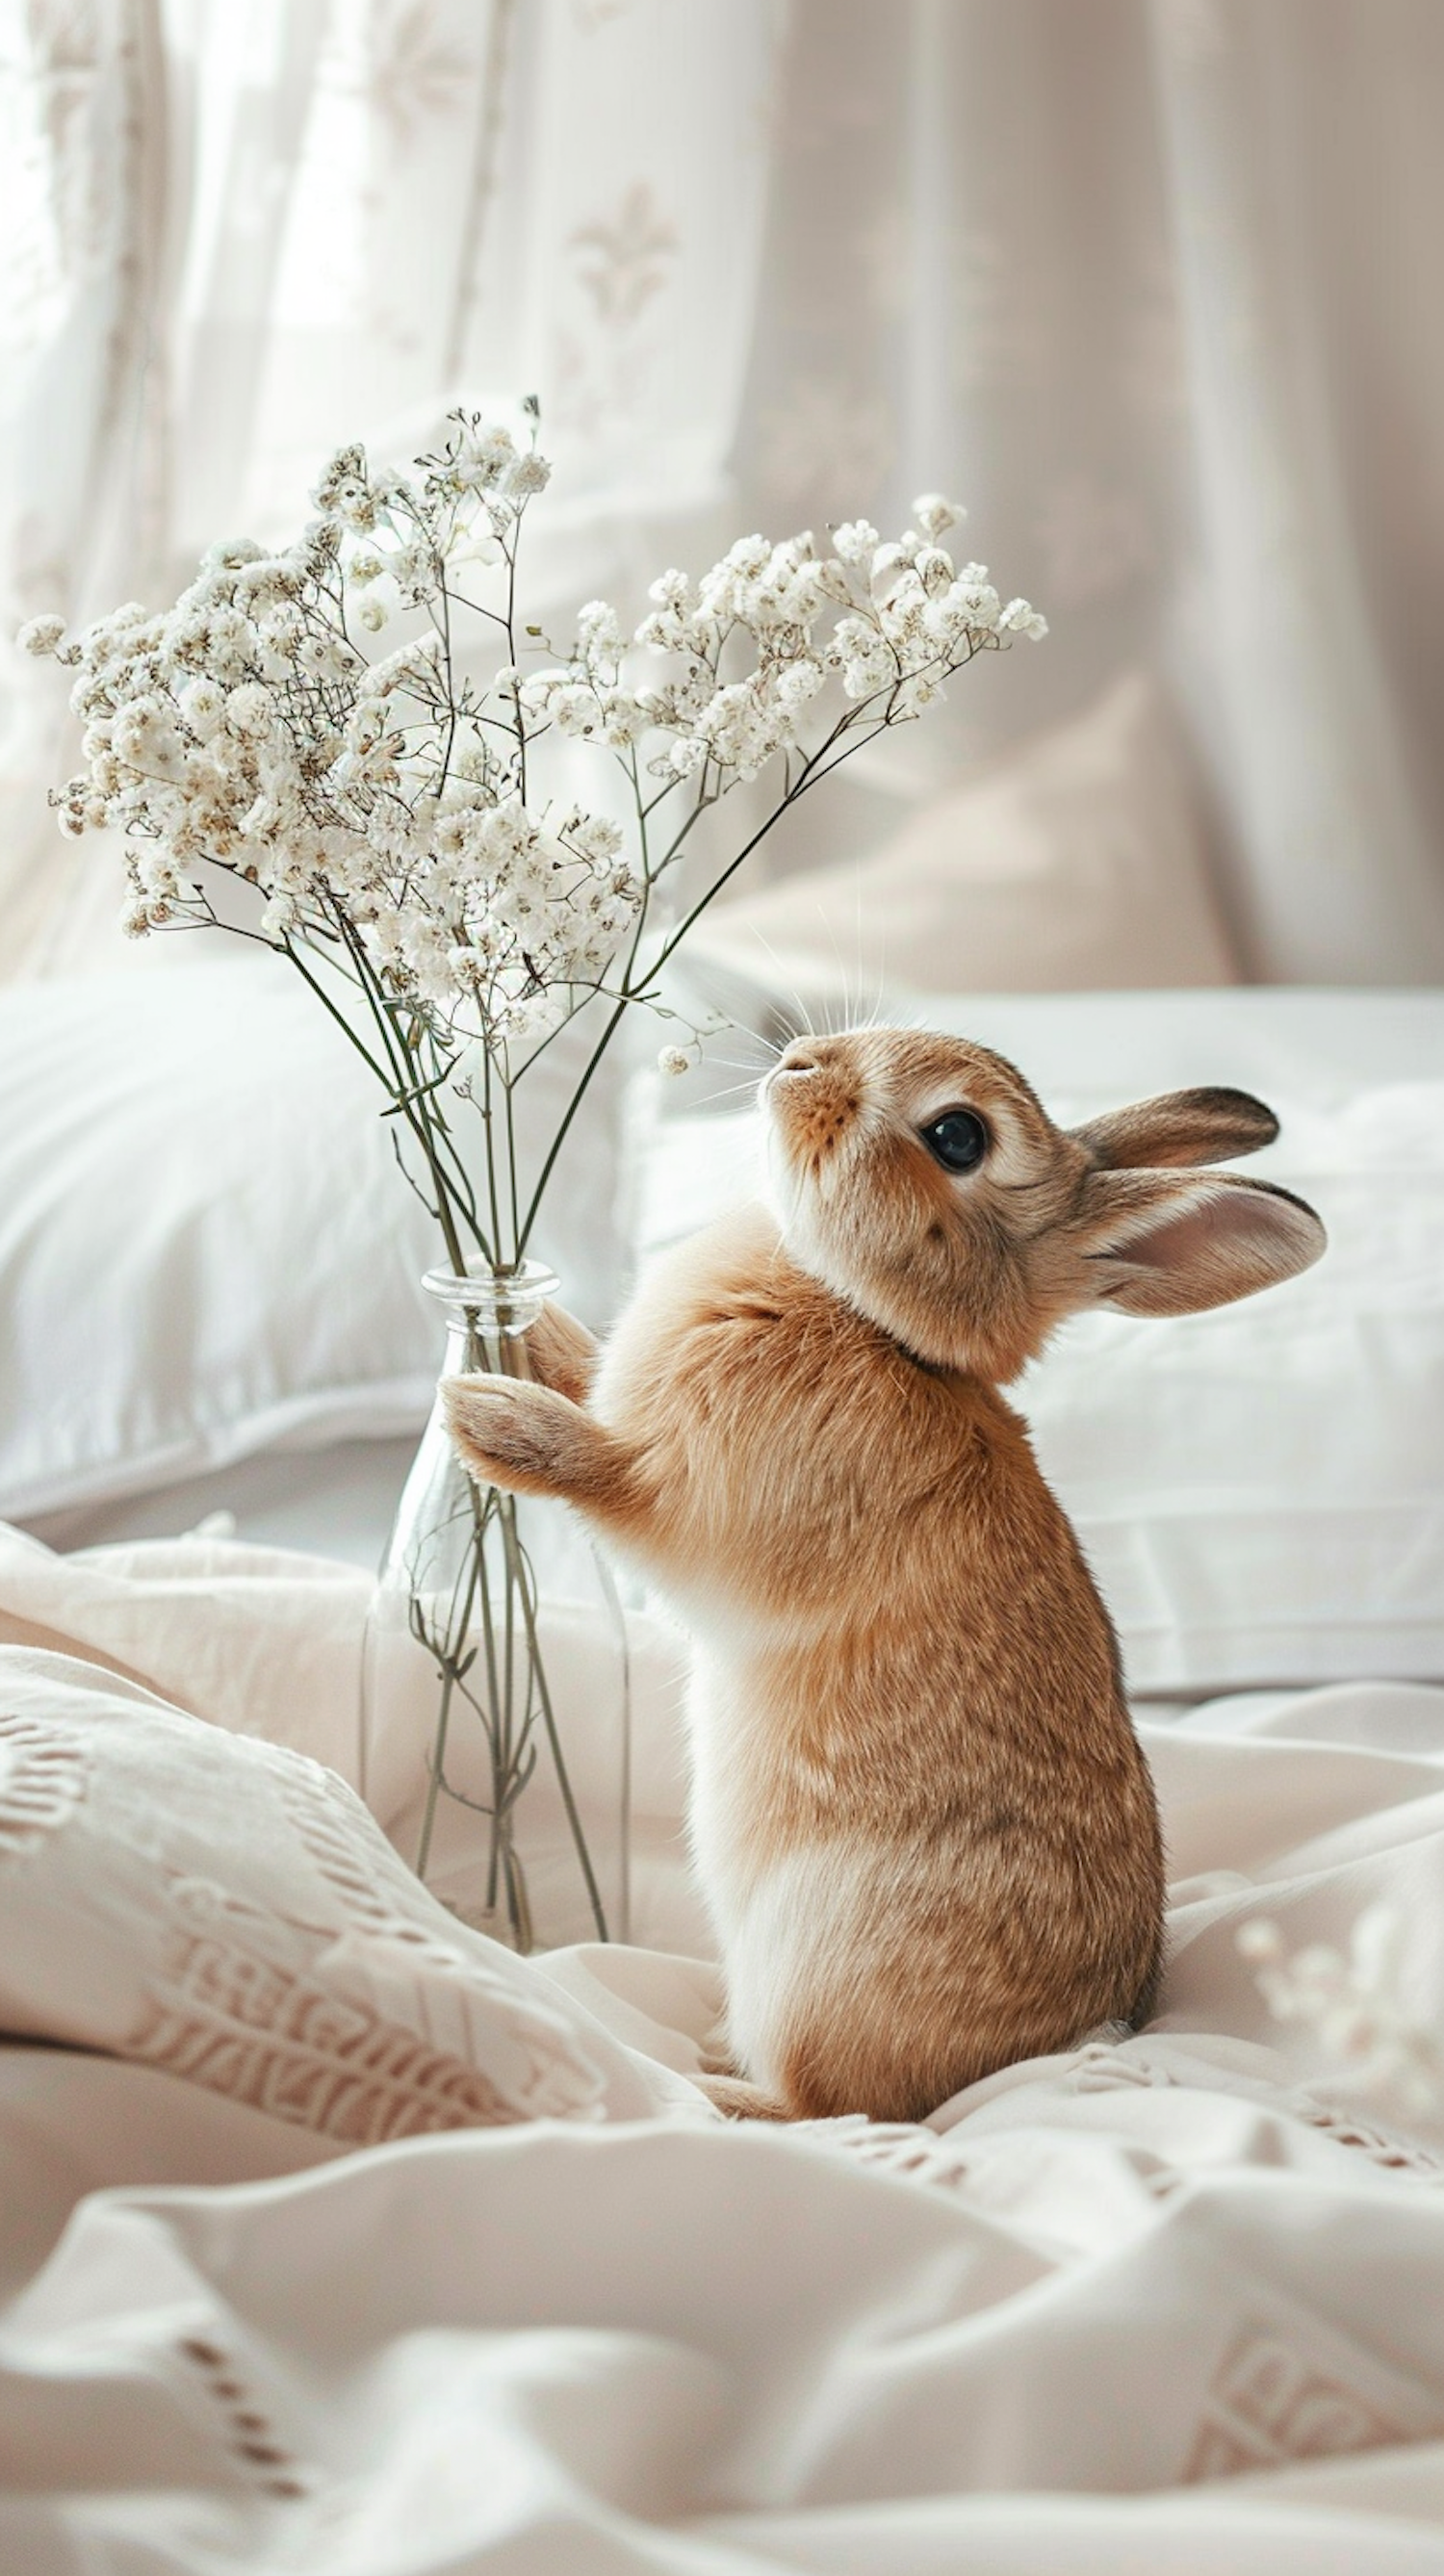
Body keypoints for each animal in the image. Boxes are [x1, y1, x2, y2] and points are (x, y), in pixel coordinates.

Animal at [445, 1015, 1328, 2123]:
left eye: (958, 1137)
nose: (802, 1062)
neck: (878, 1325)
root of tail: (1064, 2048)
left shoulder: (691, 1497)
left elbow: (613, 1478)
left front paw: (486, 1418)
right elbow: (581, 1374)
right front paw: (508, 1336)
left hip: (811, 1966)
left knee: (831, 2108)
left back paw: (708, 2086)